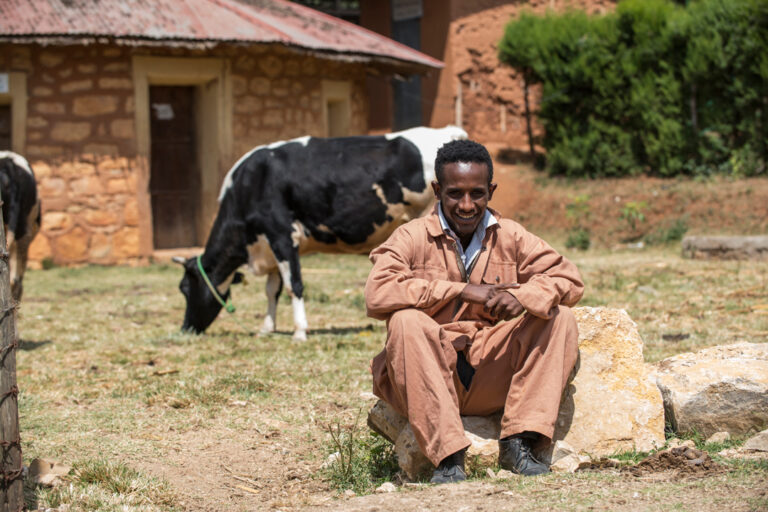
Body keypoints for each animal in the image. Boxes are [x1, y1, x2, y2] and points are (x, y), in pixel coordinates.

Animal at [177, 124, 468, 340]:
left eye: (185, 289)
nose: (186, 329)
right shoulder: (270, 245)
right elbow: (272, 290)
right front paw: (267, 328)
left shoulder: (281, 235)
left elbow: (293, 285)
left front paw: (299, 331)